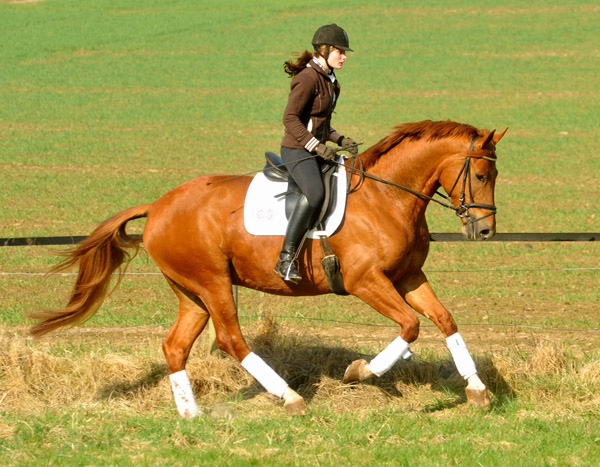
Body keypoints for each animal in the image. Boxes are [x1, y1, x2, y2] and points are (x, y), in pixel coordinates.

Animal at [28, 119, 506, 416]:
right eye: (482, 176)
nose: (485, 231)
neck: (386, 196)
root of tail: (159, 204)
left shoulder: (407, 277)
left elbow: (444, 320)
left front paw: (477, 389)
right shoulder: (366, 281)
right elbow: (410, 326)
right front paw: (362, 371)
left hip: (192, 292)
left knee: (175, 347)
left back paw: (192, 414)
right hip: (214, 283)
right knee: (230, 339)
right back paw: (290, 397)